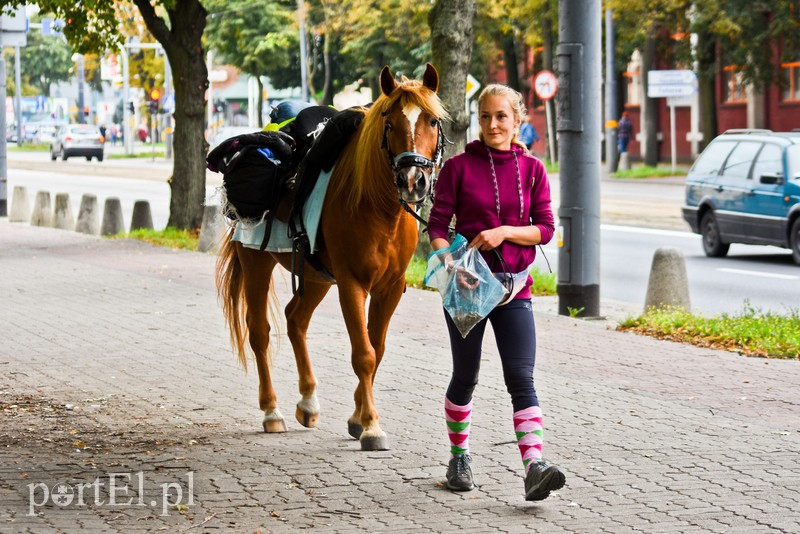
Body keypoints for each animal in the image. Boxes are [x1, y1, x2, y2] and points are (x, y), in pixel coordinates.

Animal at [216, 66, 446, 452]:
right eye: (389, 122)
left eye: (431, 120)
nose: (413, 179)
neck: (376, 205)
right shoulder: (352, 284)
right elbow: (364, 354)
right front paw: (371, 426)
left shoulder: (390, 289)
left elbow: (377, 347)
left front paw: (357, 417)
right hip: (257, 263)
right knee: (259, 332)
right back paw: (272, 412)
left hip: (316, 277)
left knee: (296, 319)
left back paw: (308, 403)